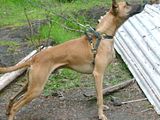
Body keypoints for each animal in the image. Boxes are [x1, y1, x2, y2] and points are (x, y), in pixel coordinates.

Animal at [0, 0, 145, 119]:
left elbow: (98, 95)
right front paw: (101, 115)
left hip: (30, 85)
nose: (144, 3)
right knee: (15, 106)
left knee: (12, 98)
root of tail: (34, 57)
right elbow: (100, 97)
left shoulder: (95, 76)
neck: (103, 36)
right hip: (36, 89)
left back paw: (7, 110)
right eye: (127, 4)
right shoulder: (98, 74)